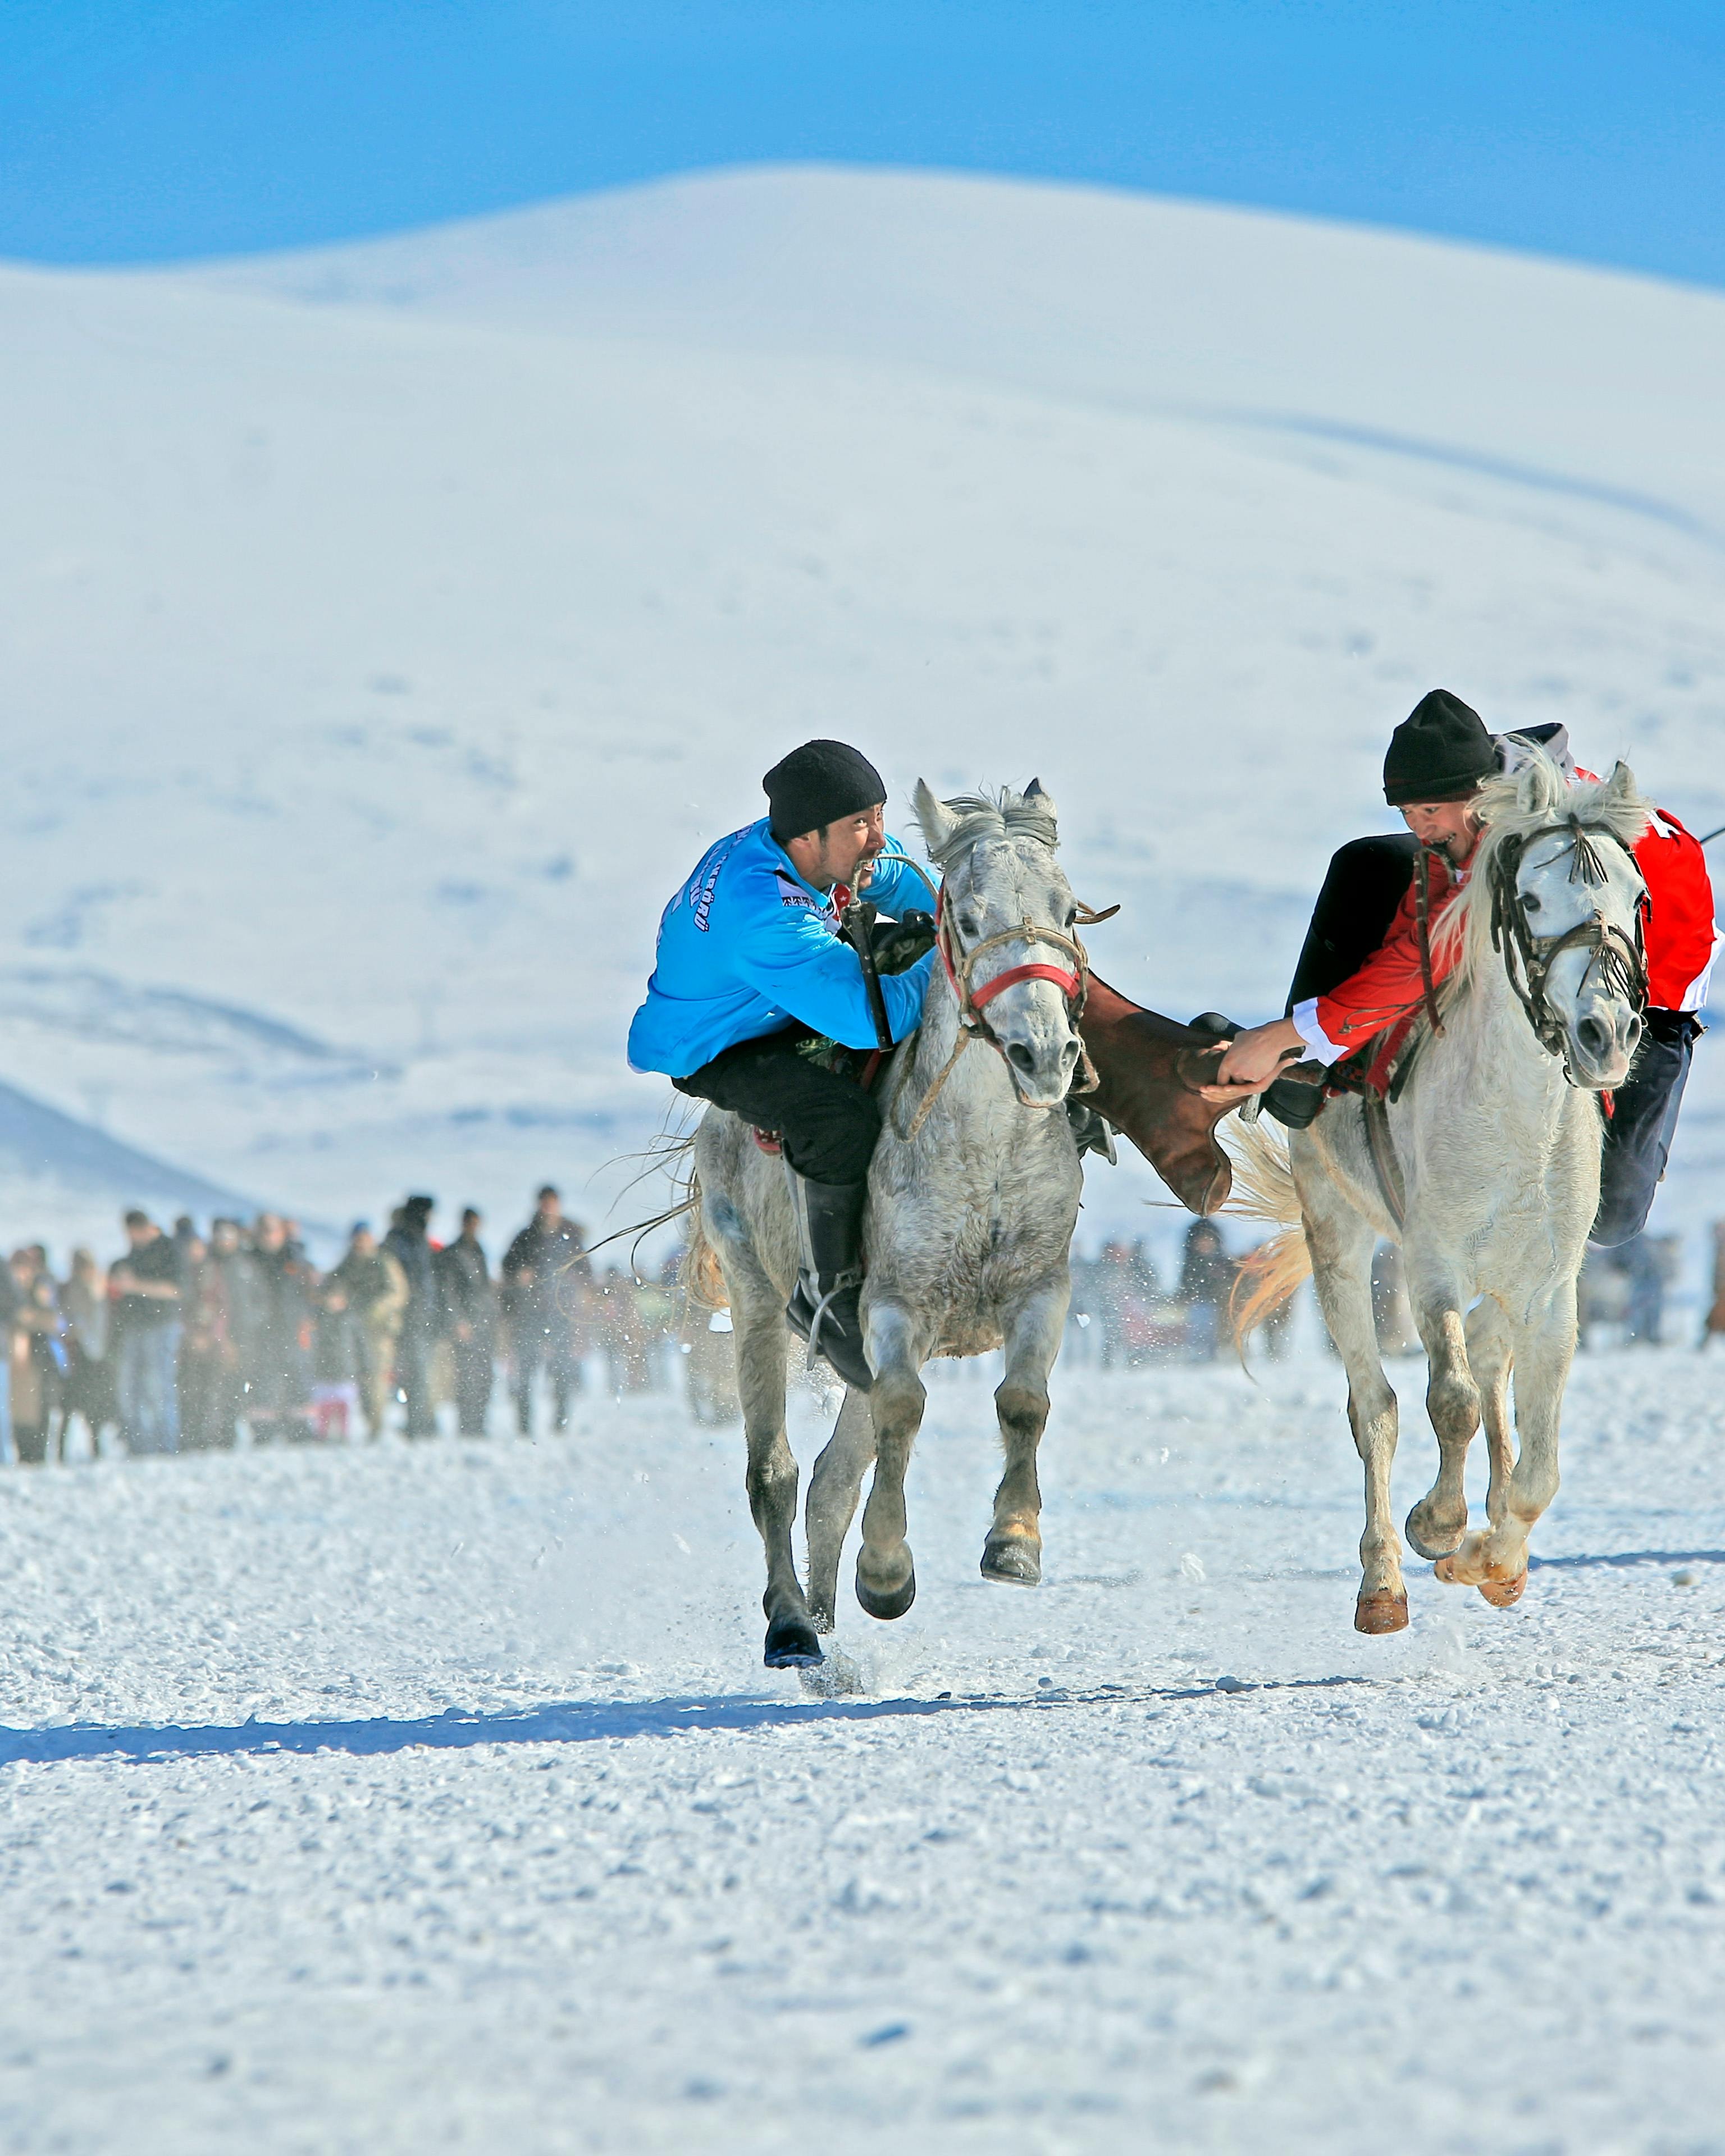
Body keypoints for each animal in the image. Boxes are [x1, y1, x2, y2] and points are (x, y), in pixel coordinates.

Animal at [686, 780, 1089, 1668]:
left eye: (1067, 909)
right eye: (965, 919)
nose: (1045, 1056)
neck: (984, 1153)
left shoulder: (1040, 1288)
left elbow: (1024, 1402)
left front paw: (1015, 1542)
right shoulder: (896, 1306)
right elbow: (905, 1409)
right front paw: (886, 1570)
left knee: (833, 1477)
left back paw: (823, 1610)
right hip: (756, 1294)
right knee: (775, 1473)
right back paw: (793, 1625)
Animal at [1230, 748, 1652, 1634]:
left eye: (1636, 898)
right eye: (1533, 899)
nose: (1607, 1034)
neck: (1517, 1124)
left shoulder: (1551, 1290)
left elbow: (1540, 1463)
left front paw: (1494, 1556)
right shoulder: (1433, 1267)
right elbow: (1448, 1400)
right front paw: (1440, 1527)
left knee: (1489, 1367)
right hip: (1339, 1236)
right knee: (1377, 1407)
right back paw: (1384, 1580)